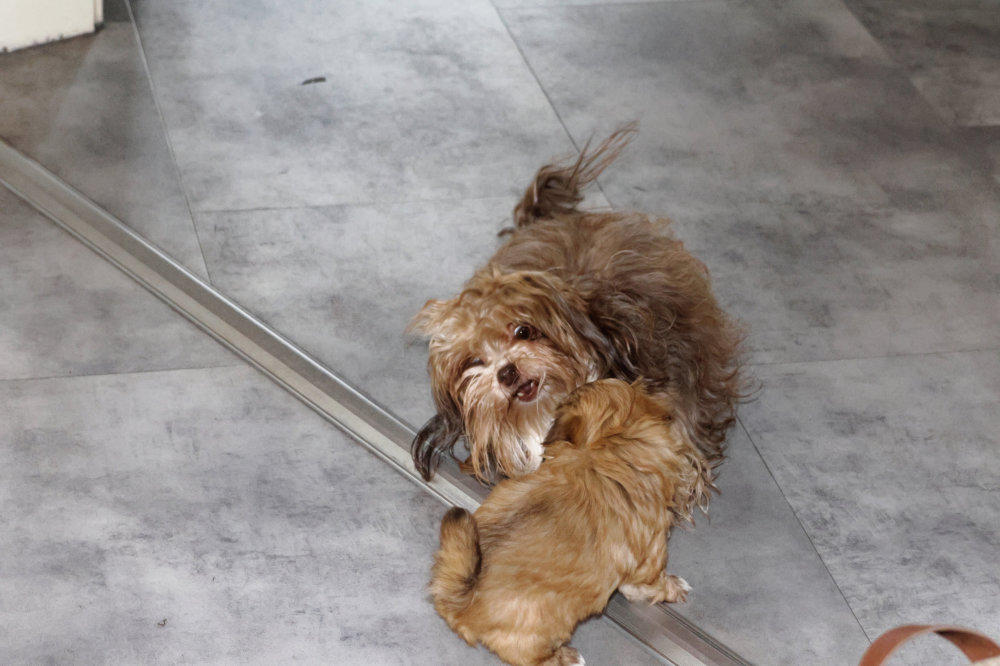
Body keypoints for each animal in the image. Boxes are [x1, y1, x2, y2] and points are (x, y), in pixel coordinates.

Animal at [430, 379, 709, 666]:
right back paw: (567, 657)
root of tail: (461, 600)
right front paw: (675, 587)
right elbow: (653, 583)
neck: (606, 448)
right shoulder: (650, 558)